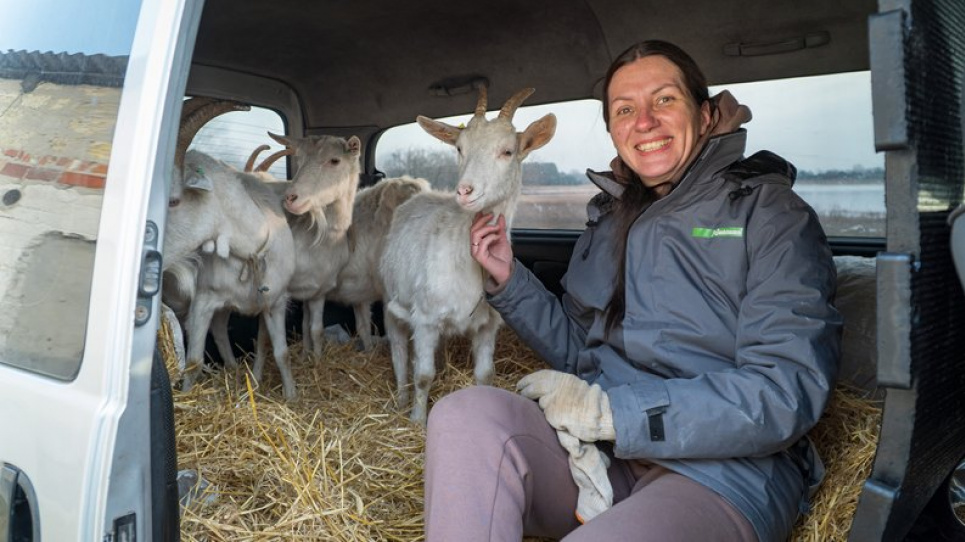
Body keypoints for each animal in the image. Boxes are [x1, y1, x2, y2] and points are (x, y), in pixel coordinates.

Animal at [378, 87, 556, 424]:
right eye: (460, 148)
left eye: (507, 151)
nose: (464, 191)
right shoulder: (425, 318)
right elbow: (423, 374)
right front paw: (417, 420)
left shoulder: (487, 324)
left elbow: (485, 374)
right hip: (390, 299)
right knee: (398, 351)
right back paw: (400, 398)